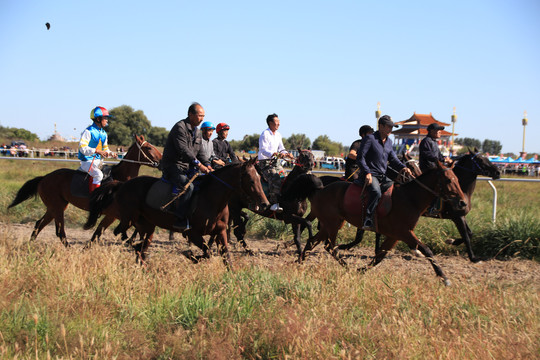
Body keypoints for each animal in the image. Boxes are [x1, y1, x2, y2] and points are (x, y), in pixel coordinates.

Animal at [8, 136, 161, 248]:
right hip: (57, 207)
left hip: (55, 207)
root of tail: (44, 178)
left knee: (39, 224)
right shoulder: (113, 215)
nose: (161, 160)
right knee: (59, 230)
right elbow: (98, 233)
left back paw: (29, 246)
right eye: (148, 147)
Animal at [85, 159, 270, 266]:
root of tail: (122, 184)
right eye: (250, 180)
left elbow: (226, 258)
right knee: (120, 232)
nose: (265, 203)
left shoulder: (221, 232)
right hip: (129, 218)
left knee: (140, 247)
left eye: (260, 179)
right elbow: (207, 253)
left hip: (147, 226)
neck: (211, 199)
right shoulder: (192, 234)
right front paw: (189, 255)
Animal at [298, 162, 466, 286]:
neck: (410, 198)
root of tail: (319, 190)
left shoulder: (395, 236)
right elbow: (427, 250)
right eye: (448, 180)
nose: (462, 202)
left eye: (458, 180)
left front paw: (361, 270)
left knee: (315, 242)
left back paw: (300, 262)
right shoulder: (404, 232)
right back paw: (344, 265)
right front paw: (444, 277)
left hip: (331, 224)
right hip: (332, 224)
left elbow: (380, 256)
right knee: (329, 246)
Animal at [340, 149, 500, 262]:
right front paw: (473, 258)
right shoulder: (456, 216)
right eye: (481, 159)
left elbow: (469, 233)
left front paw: (451, 241)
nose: (498, 172)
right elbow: (466, 235)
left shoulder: (460, 215)